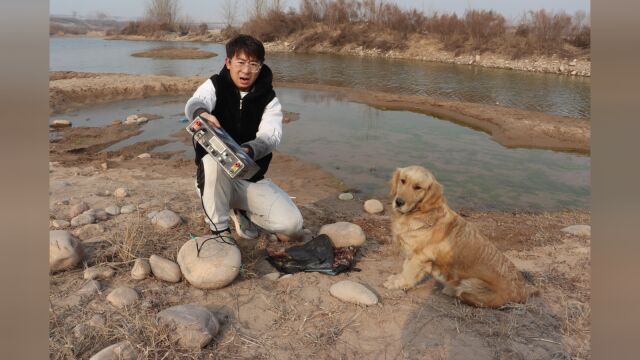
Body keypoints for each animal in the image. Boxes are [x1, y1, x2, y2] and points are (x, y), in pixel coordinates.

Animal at [382, 165, 536, 308]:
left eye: (418, 187)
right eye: (403, 180)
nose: (399, 202)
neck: (421, 213)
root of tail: (523, 292)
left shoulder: (419, 257)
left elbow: (407, 273)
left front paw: (397, 282)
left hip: (469, 283)